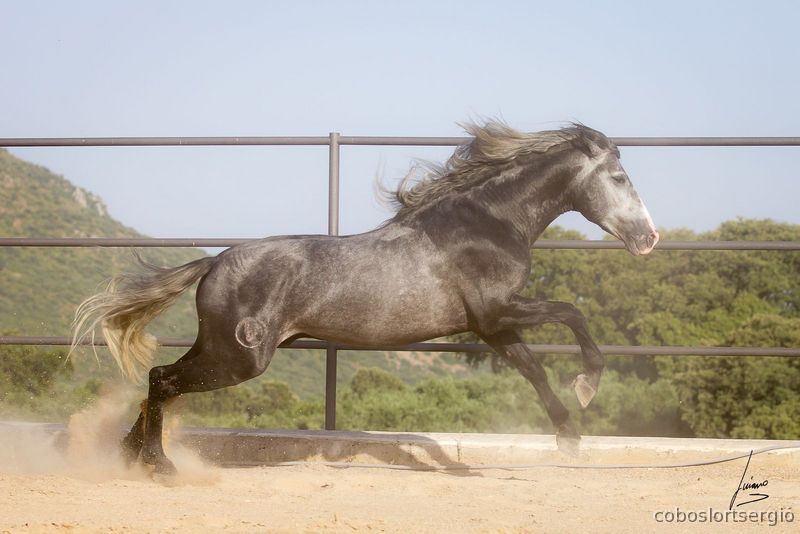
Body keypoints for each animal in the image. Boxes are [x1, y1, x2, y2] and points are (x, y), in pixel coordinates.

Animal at [72, 120, 659, 475]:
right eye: (619, 176)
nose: (648, 238)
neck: (487, 223)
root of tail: (214, 262)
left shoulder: (492, 326)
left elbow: (534, 370)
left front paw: (569, 437)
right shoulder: (496, 311)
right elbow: (572, 313)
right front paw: (587, 386)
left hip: (219, 348)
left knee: (158, 381)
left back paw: (127, 458)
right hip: (239, 359)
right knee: (162, 380)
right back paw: (160, 466)